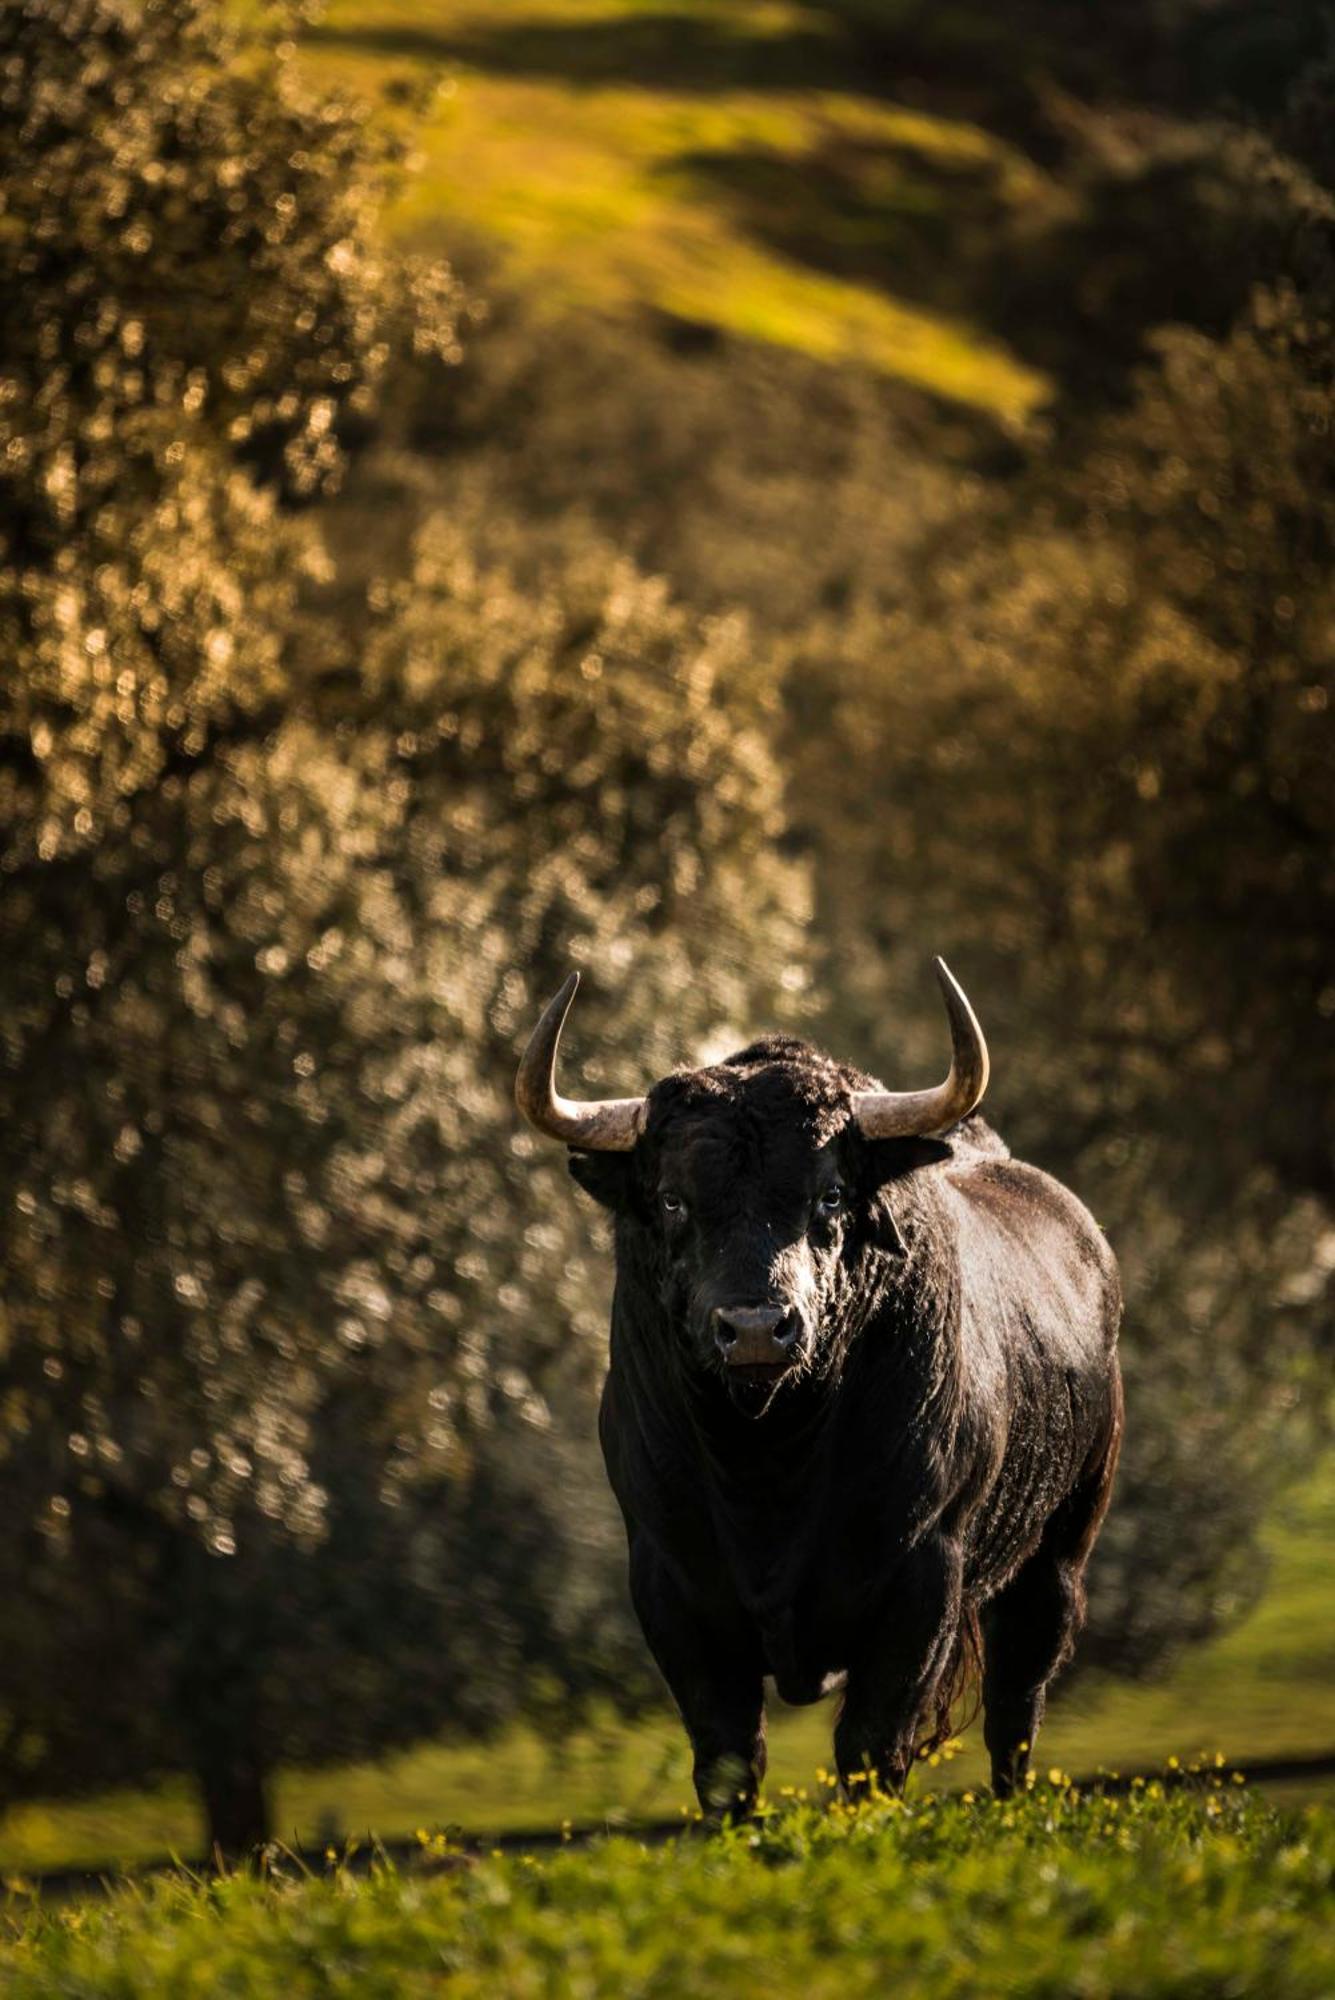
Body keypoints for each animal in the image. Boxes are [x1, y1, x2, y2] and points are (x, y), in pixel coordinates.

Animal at [515, 984, 1119, 1816]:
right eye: (671, 1201)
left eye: (829, 1195)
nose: (755, 1327)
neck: (767, 1464)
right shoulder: (669, 1586)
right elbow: (726, 1760)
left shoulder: (922, 1577)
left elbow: (871, 1749)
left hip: (1060, 1548)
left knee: (1016, 1704)